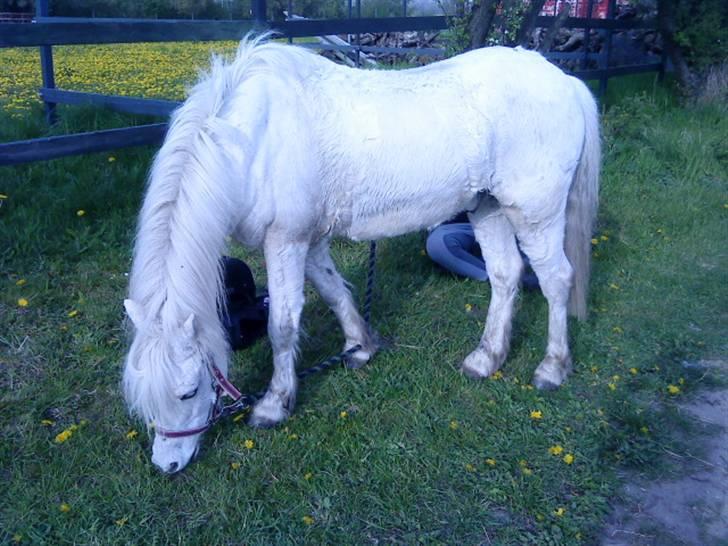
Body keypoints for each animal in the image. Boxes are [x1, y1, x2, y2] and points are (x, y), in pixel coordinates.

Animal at [122, 34, 600, 473]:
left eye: (188, 391)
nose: (167, 465)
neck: (252, 141)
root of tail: (565, 81)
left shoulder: (285, 242)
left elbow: (282, 325)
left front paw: (274, 404)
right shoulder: (309, 241)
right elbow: (334, 293)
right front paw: (360, 347)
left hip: (535, 215)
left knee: (556, 279)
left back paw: (552, 368)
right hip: (488, 207)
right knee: (504, 275)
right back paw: (486, 359)